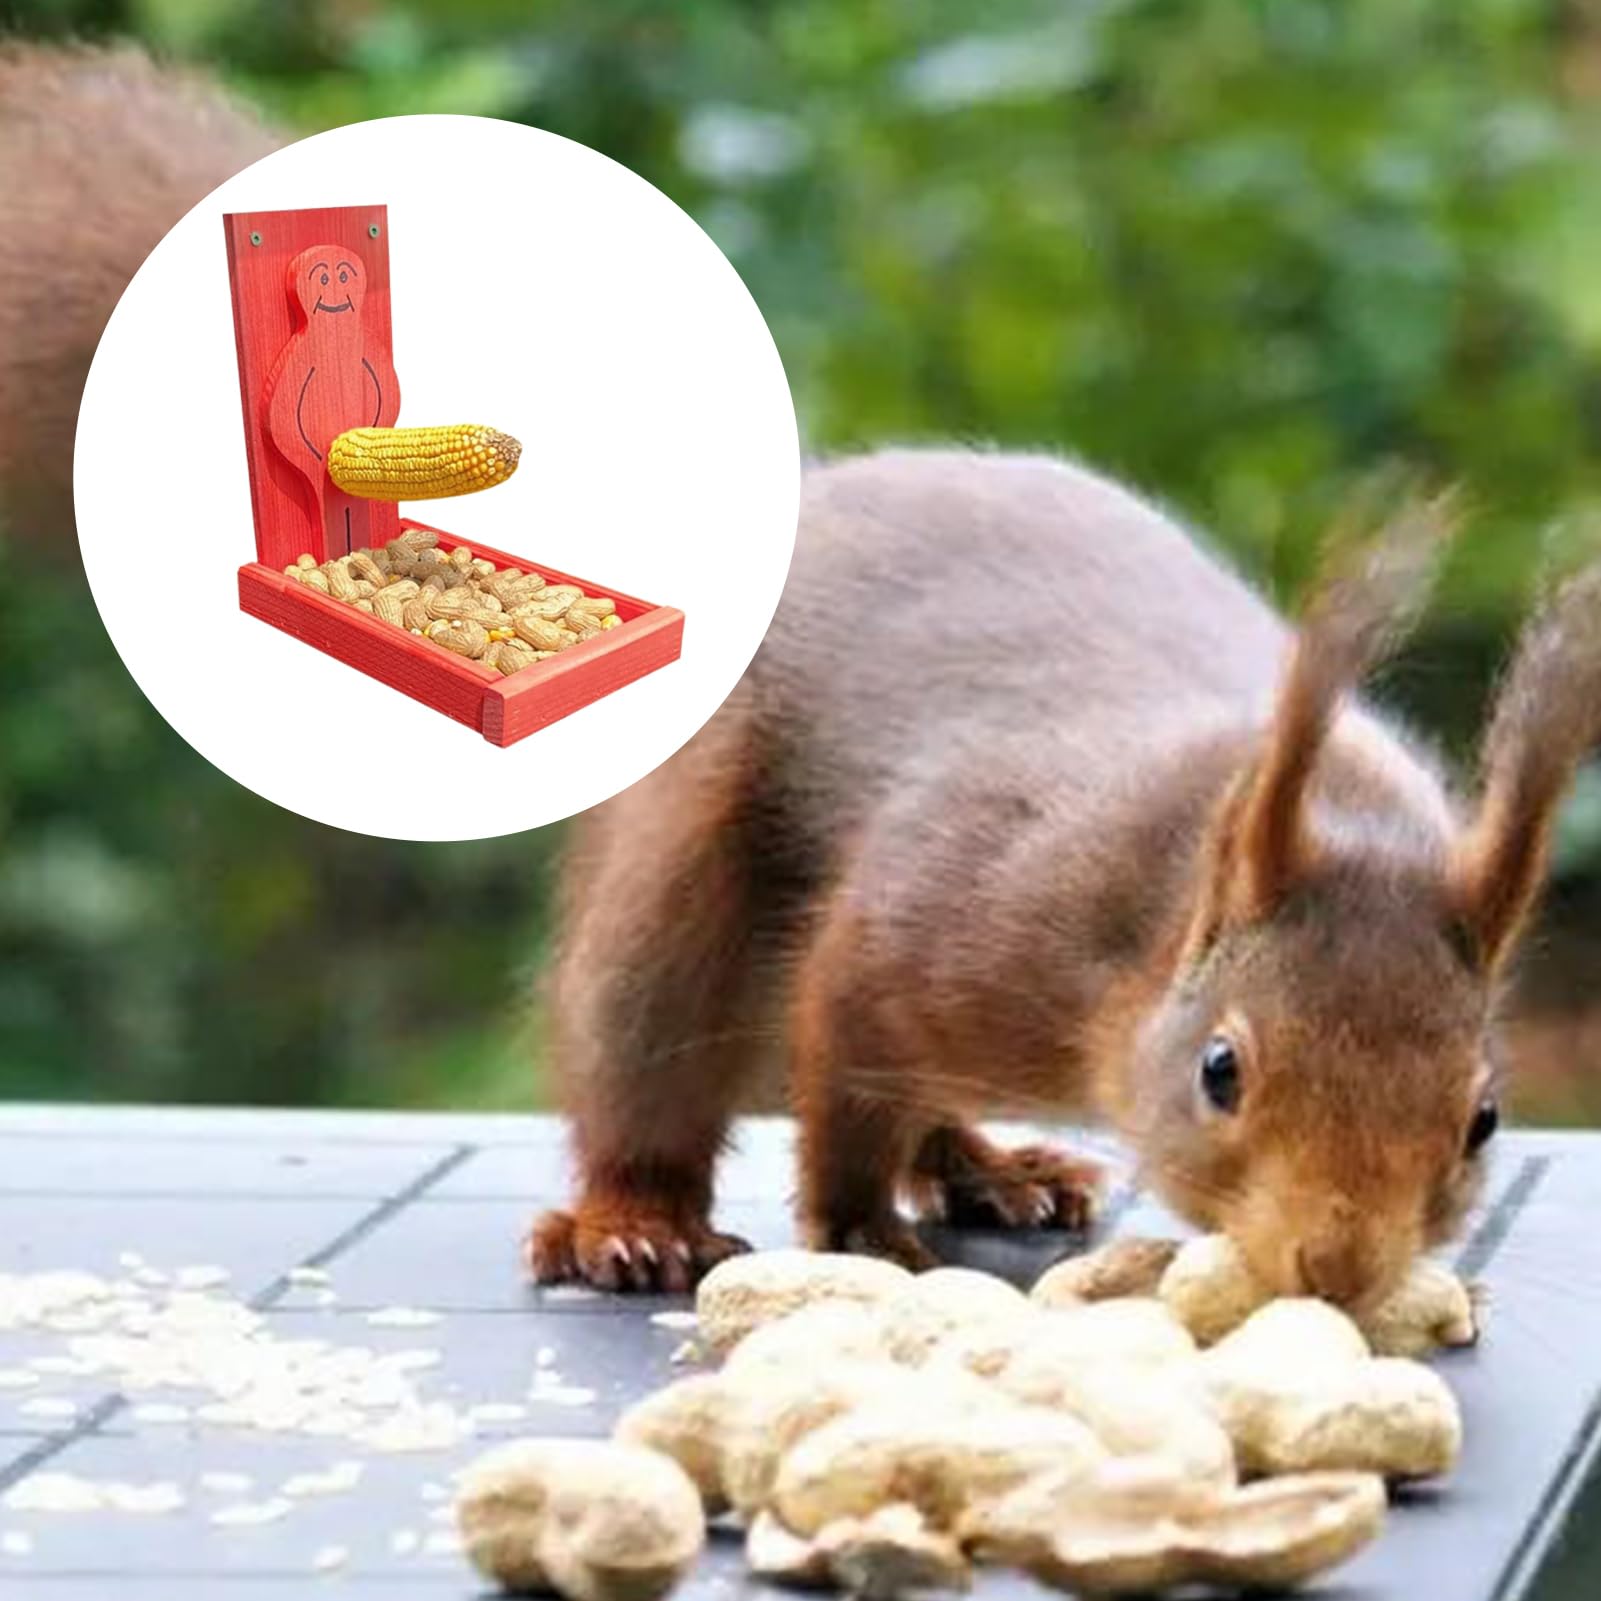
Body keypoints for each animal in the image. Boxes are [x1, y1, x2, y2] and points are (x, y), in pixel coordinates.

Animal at [530, 449, 1601, 1309]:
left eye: (1483, 1119)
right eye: (1218, 1070)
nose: (1335, 1269)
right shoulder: (945, 913)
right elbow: (843, 1077)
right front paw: (858, 1227)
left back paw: (994, 1168)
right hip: (676, 864)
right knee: (645, 1043)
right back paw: (638, 1221)